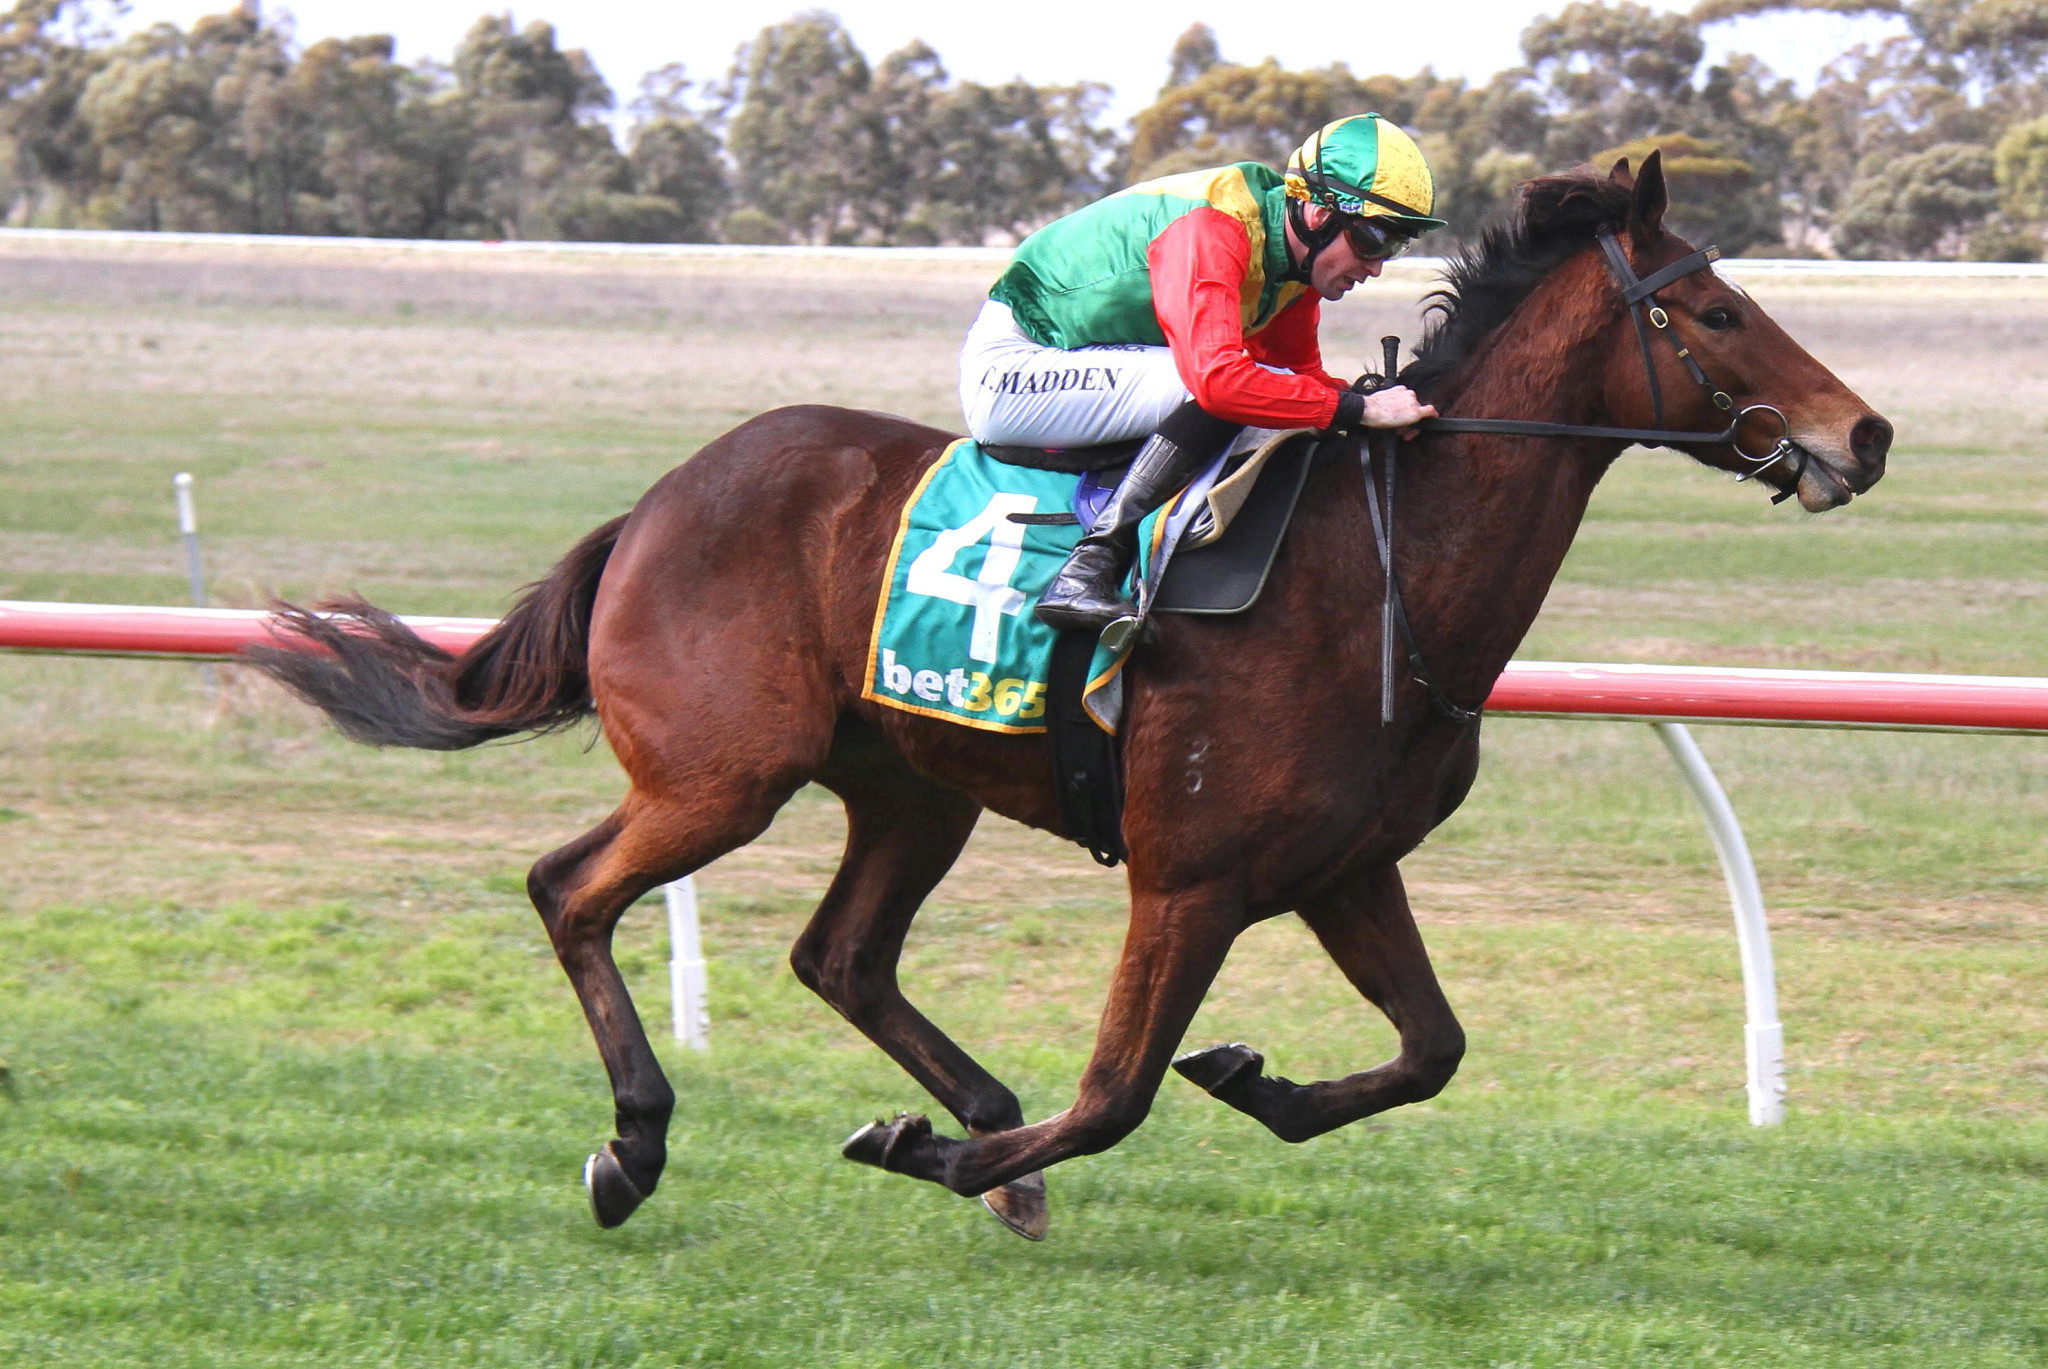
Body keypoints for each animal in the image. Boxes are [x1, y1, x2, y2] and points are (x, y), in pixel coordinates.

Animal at [247, 154, 1892, 1246]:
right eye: (1719, 311)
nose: (1862, 436)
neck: (1379, 570)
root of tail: (657, 501)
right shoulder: (1190, 877)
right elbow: (1116, 1092)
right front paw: (926, 1153)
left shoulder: (1345, 865)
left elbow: (1430, 1051)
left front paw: (1250, 1077)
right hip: (723, 774)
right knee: (571, 888)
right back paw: (639, 1147)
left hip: (906, 785)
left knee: (839, 954)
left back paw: (974, 1125)